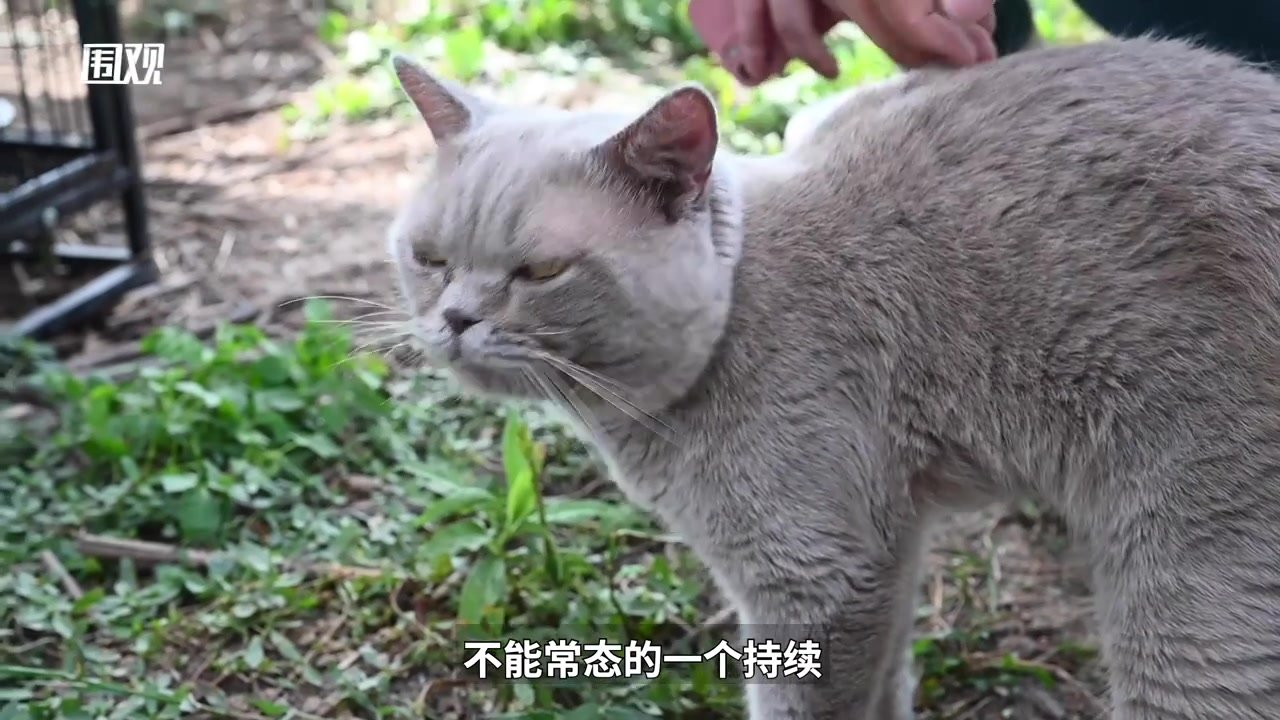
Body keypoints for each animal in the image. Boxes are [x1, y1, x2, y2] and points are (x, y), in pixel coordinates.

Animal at [384, 37, 1280, 717]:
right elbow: (888, 681)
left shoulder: (816, 573)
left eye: (541, 271)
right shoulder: (886, 540)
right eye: (429, 259)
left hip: (1195, 575)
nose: (455, 319)